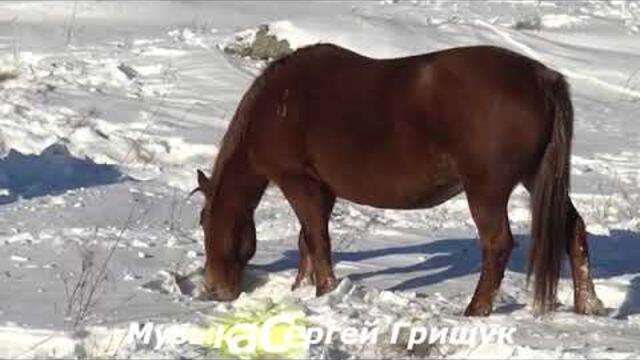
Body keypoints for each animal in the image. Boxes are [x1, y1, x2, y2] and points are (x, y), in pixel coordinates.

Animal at [195, 43, 604, 316]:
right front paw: (301, 288)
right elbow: (307, 241)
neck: (277, 106)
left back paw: (476, 309)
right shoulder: (322, 189)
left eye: (204, 222)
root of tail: (541, 78)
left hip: (486, 189)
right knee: (573, 230)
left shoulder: (297, 181)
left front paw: (324, 292)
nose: (214, 290)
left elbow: (317, 239)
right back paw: (588, 304)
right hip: (538, 177)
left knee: (498, 244)